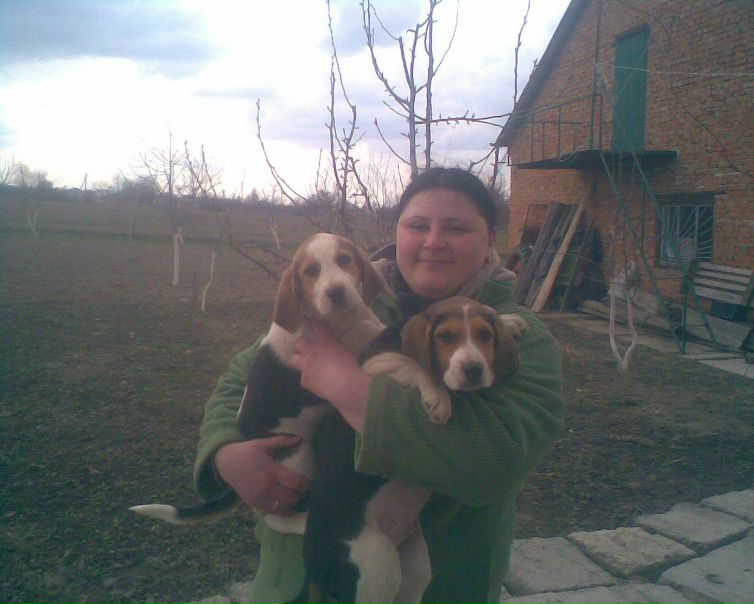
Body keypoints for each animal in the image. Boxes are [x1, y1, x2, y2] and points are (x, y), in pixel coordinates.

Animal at [292, 296, 528, 604]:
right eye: (445, 337)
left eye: (485, 335)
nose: (474, 370)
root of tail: (311, 567)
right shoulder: (378, 363)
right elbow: (414, 366)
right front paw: (438, 398)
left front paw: (508, 320)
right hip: (379, 565)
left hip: (415, 565)